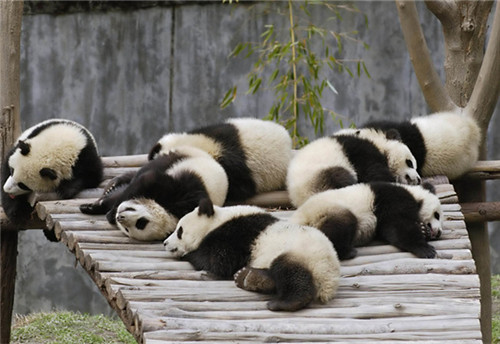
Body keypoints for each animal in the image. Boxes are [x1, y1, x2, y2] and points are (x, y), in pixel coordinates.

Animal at [81, 144, 229, 239]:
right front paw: (104, 209)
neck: (170, 212)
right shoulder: (182, 192)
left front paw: (106, 212)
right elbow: (148, 179)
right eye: (141, 221)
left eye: (139, 224)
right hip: (180, 157)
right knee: (146, 170)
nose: (120, 217)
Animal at [164, 196, 340, 312]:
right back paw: (248, 277)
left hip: (303, 254)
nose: (165, 243)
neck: (218, 220)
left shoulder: (236, 235)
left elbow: (219, 261)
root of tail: (329, 280)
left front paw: (189, 254)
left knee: (291, 272)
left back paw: (284, 302)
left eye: (180, 231)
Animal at [292, 181, 444, 260]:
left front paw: (423, 230)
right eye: (436, 215)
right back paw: (347, 252)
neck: (415, 195)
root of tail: (298, 219)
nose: (439, 232)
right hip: (326, 211)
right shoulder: (392, 200)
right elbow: (397, 226)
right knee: (341, 225)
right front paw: (426, 249)